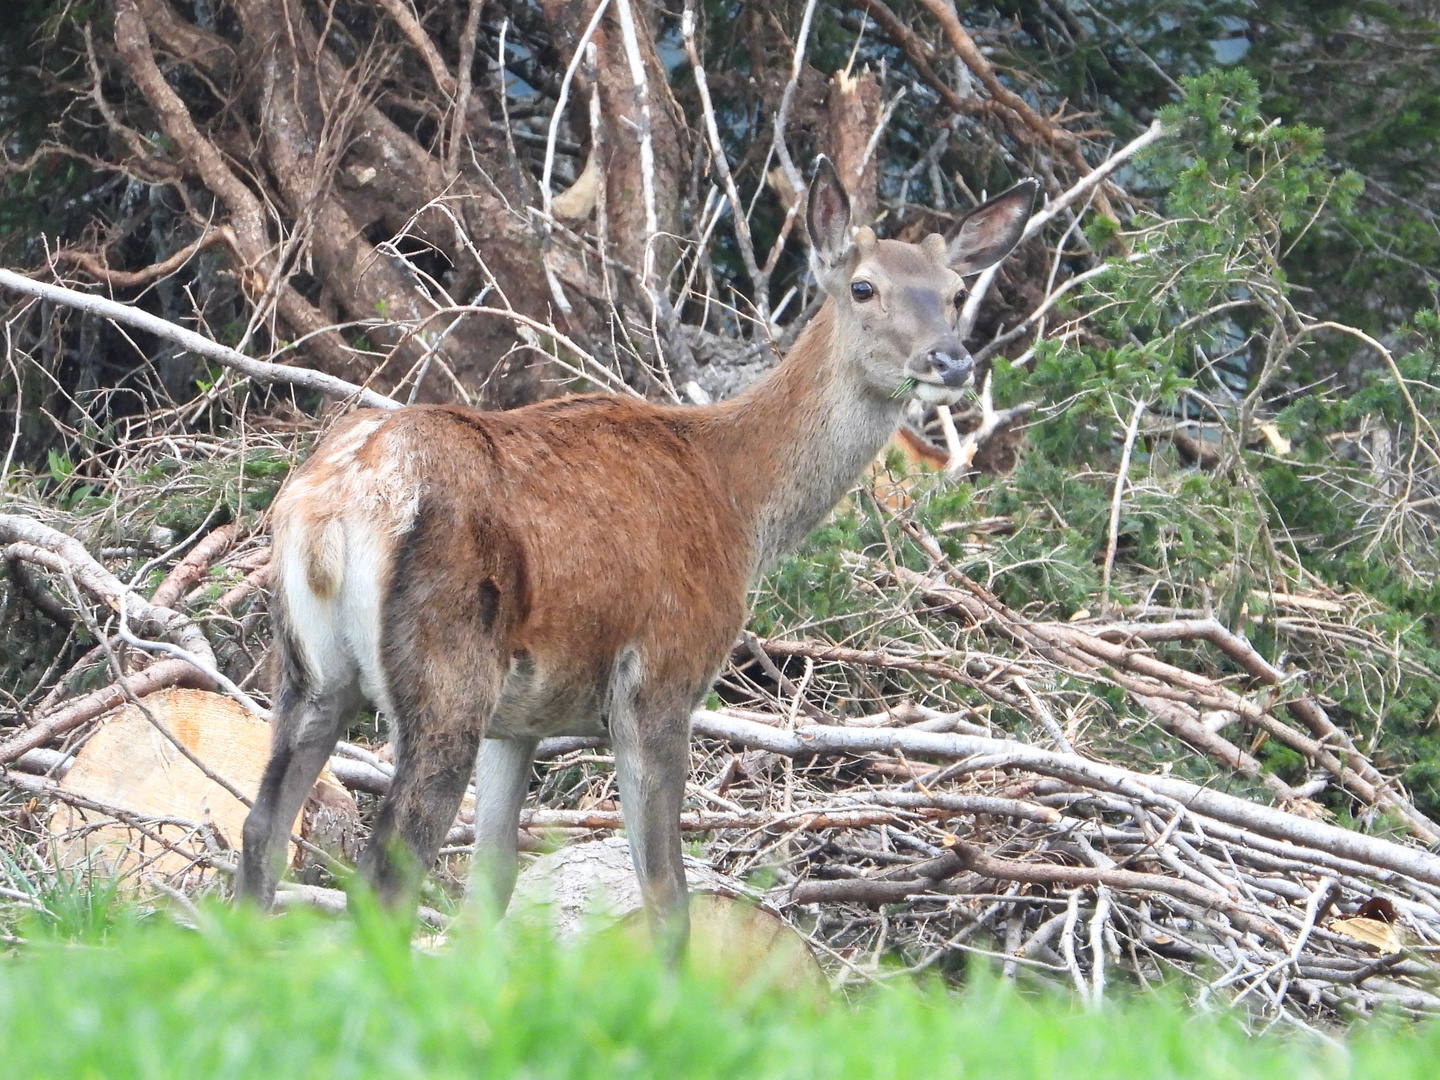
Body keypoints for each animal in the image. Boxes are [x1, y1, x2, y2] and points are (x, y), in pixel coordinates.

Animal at [241, 154, 1042, 956]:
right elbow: (666, 893)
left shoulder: (519, 721)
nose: (949, 359)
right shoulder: (661, 674)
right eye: (864, 286)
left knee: (261, 829)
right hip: (448, 670)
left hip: (311, 672)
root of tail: (331, 509)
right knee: (386, 870)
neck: (738, 504)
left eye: (954, 293)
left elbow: (493, 883)